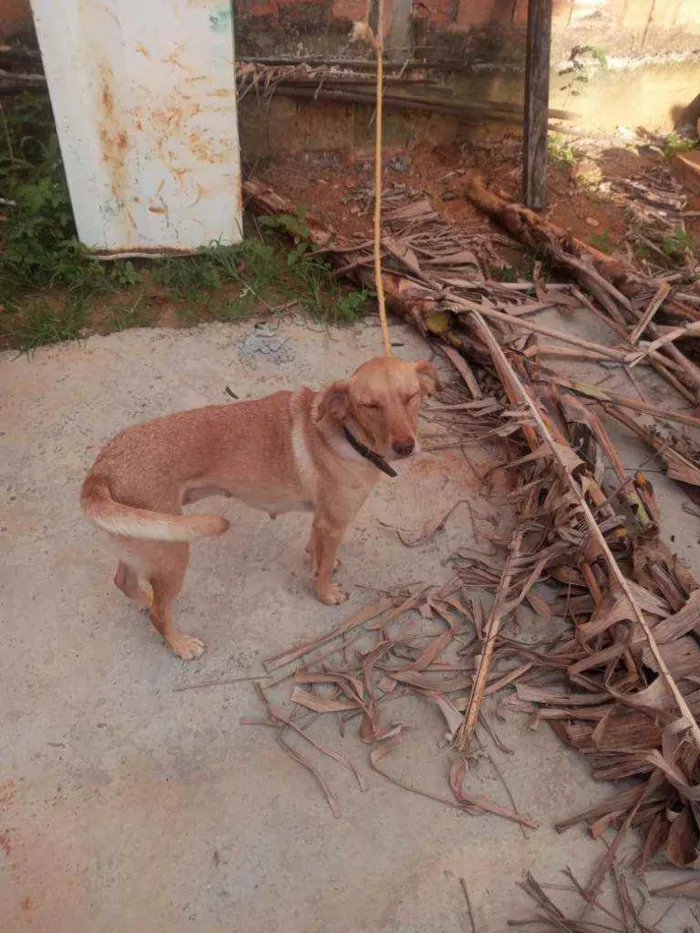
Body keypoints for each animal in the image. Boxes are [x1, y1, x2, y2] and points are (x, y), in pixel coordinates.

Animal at [80, 354, 438, 660]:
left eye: (411, 396)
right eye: (370, 405)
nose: (405, 447)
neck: (344, 434)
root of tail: (103, 467)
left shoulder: (322, 519)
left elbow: (318, 551)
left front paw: (319, 559)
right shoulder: (334, 522)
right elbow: (322, 570)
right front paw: (326, 593)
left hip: (143, 540)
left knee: (124, 582)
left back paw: (145, 600)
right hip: (173, 552)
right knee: (159, 613)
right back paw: (180, 644)